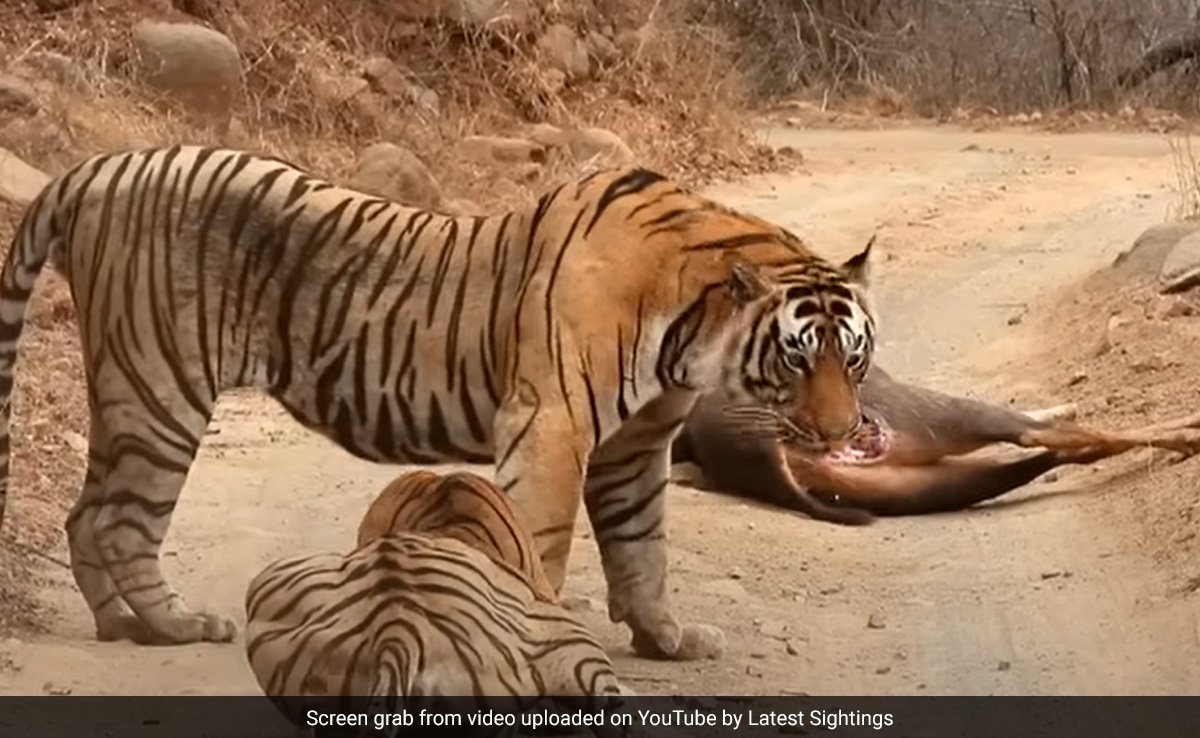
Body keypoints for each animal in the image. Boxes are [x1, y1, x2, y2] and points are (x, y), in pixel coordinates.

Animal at [0, 145, 876, 661]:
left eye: (855, 359)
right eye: (797, 358)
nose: (841, 435)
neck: (692, 327)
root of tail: (97, 167)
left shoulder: (634, 447)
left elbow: (643, 550)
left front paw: (668, 639)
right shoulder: (550, 424)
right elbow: (546, 543)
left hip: (126, 393)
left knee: (84, 514)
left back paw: (119, 625)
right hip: (161, 391)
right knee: (122, 523)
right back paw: (176, 627)